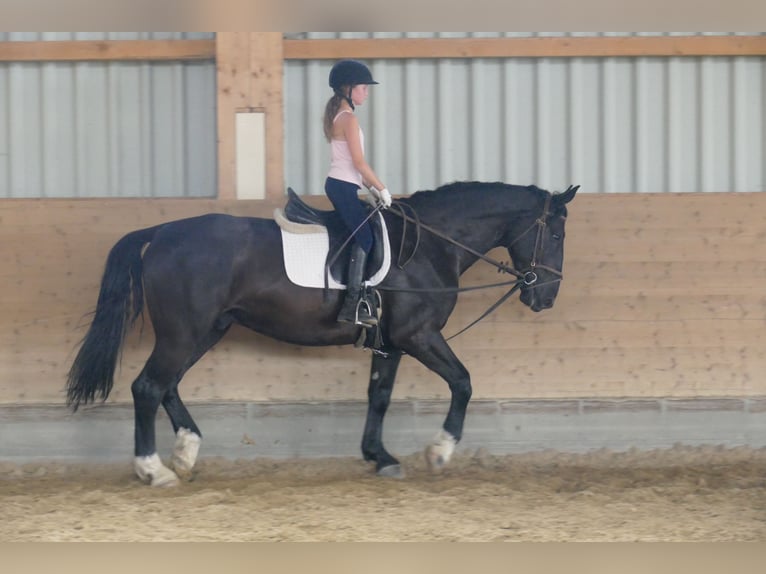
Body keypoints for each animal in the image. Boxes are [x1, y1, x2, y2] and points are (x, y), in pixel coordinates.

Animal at [66, 181, 578, 486]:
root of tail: (161, 232)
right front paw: (438, 452)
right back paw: (153, 470)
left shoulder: (391, 344)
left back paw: (186, 453)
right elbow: (463, 382)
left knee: (166, 385)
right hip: (185, 332)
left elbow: (379, 396)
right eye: (555, 235)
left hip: (204, 330)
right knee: (148, 386)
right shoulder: (419, 335)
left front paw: (380, 456)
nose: (547, 297)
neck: (430, 245)